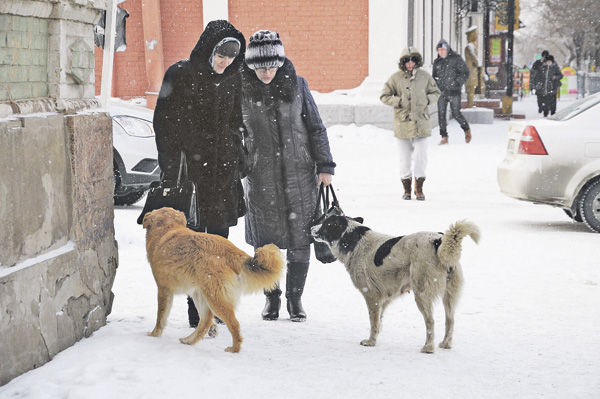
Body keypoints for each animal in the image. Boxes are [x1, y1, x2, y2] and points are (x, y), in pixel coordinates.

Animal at [142, 208, 284, 352]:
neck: (167, 227)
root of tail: (231, 252)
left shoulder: (164, 289)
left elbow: (161, 316)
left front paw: (154, 334)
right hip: (202, 295)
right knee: (206, 321)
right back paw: (189, 340)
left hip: (215, 298)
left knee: (233, 324)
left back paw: (234, 348)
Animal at [312, 216, 480, 354]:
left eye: (326, 224)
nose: (311, 228)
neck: (353, 240)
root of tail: (438, 240)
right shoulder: (384, 297)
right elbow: (379, 321)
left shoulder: (371, 295)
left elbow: (373, 322)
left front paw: (371, 342)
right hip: (449, 296)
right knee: (450, 320)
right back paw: (445, 344)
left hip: (421, 294)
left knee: (430, 321)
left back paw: (428, 348)